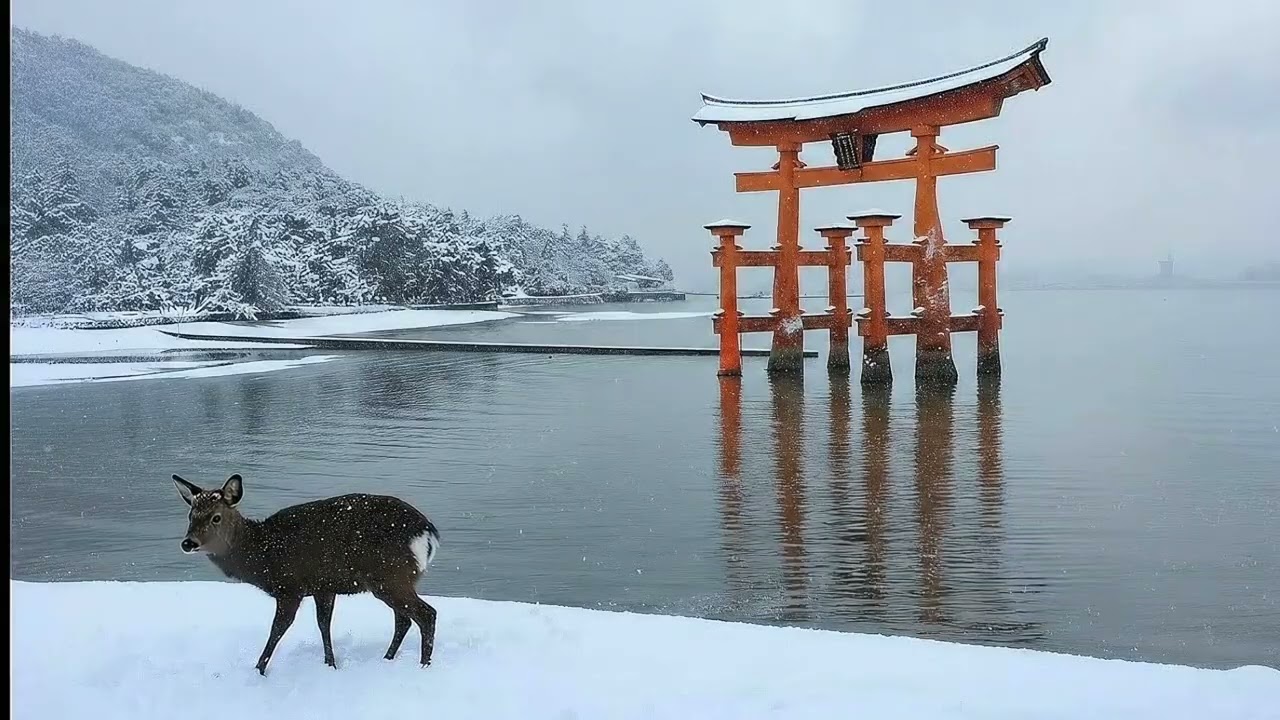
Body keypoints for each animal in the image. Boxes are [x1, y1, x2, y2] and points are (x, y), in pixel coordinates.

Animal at [170, 472, 441, 675]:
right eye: (191, 515)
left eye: (216, 517)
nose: (188, 543)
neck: (263, 555)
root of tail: (428, 533)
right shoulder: (324, 586)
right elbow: (323, 624)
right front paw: (330, 664)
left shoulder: (290, 586)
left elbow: (278, 628)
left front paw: (259, 669)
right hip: (395, 579)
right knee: (404, 619)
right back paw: (388, 659)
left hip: (390, 575)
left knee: (426, 614)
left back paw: (424, 666)